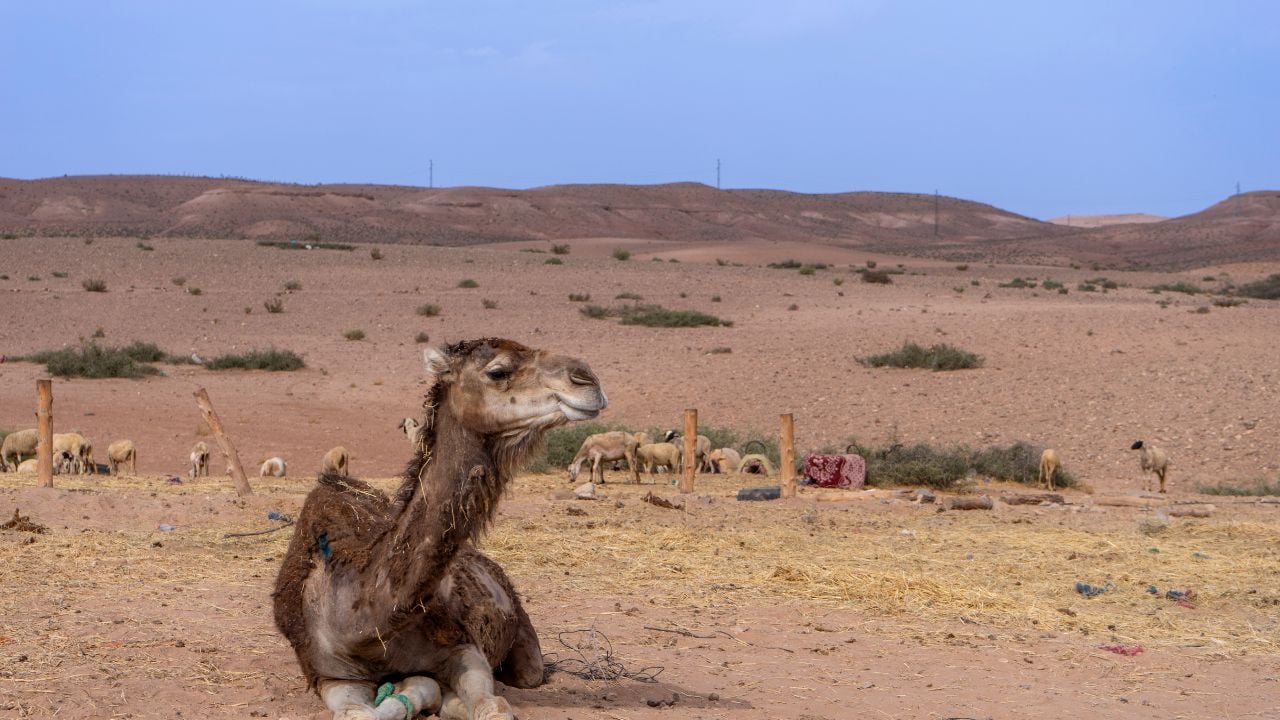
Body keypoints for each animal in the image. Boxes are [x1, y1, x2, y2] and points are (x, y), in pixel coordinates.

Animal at [273, 338, 607, 720]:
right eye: (498, 371)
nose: (587, 380)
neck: (364, 625)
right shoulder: (328, 675)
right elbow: (361, 712)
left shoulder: (463, 647)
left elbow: (489, 706)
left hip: (524, 641)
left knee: (529, 672)